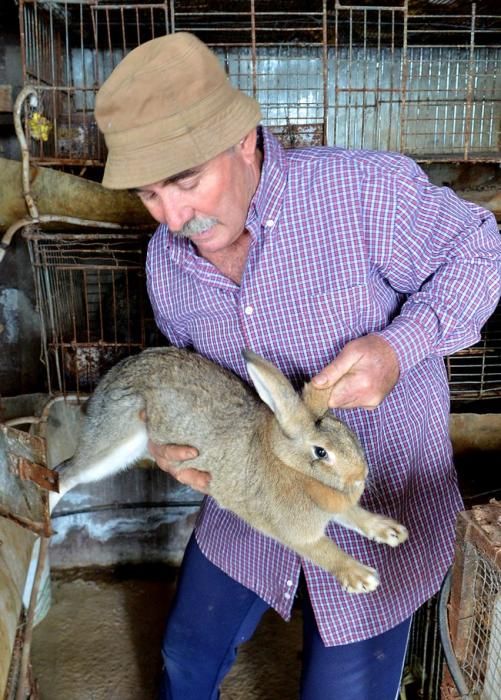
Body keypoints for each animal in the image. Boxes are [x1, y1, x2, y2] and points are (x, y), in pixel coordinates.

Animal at [49, 348, 406, 592]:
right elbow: (322, 550)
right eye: (321, 453)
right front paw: (363, 578)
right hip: (117, 439)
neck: (287, 463)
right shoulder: (294, 531)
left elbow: (354, 516)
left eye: (350, 434)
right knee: (66, 472)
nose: (360, 477)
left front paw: (391, 531)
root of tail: (112, 375)